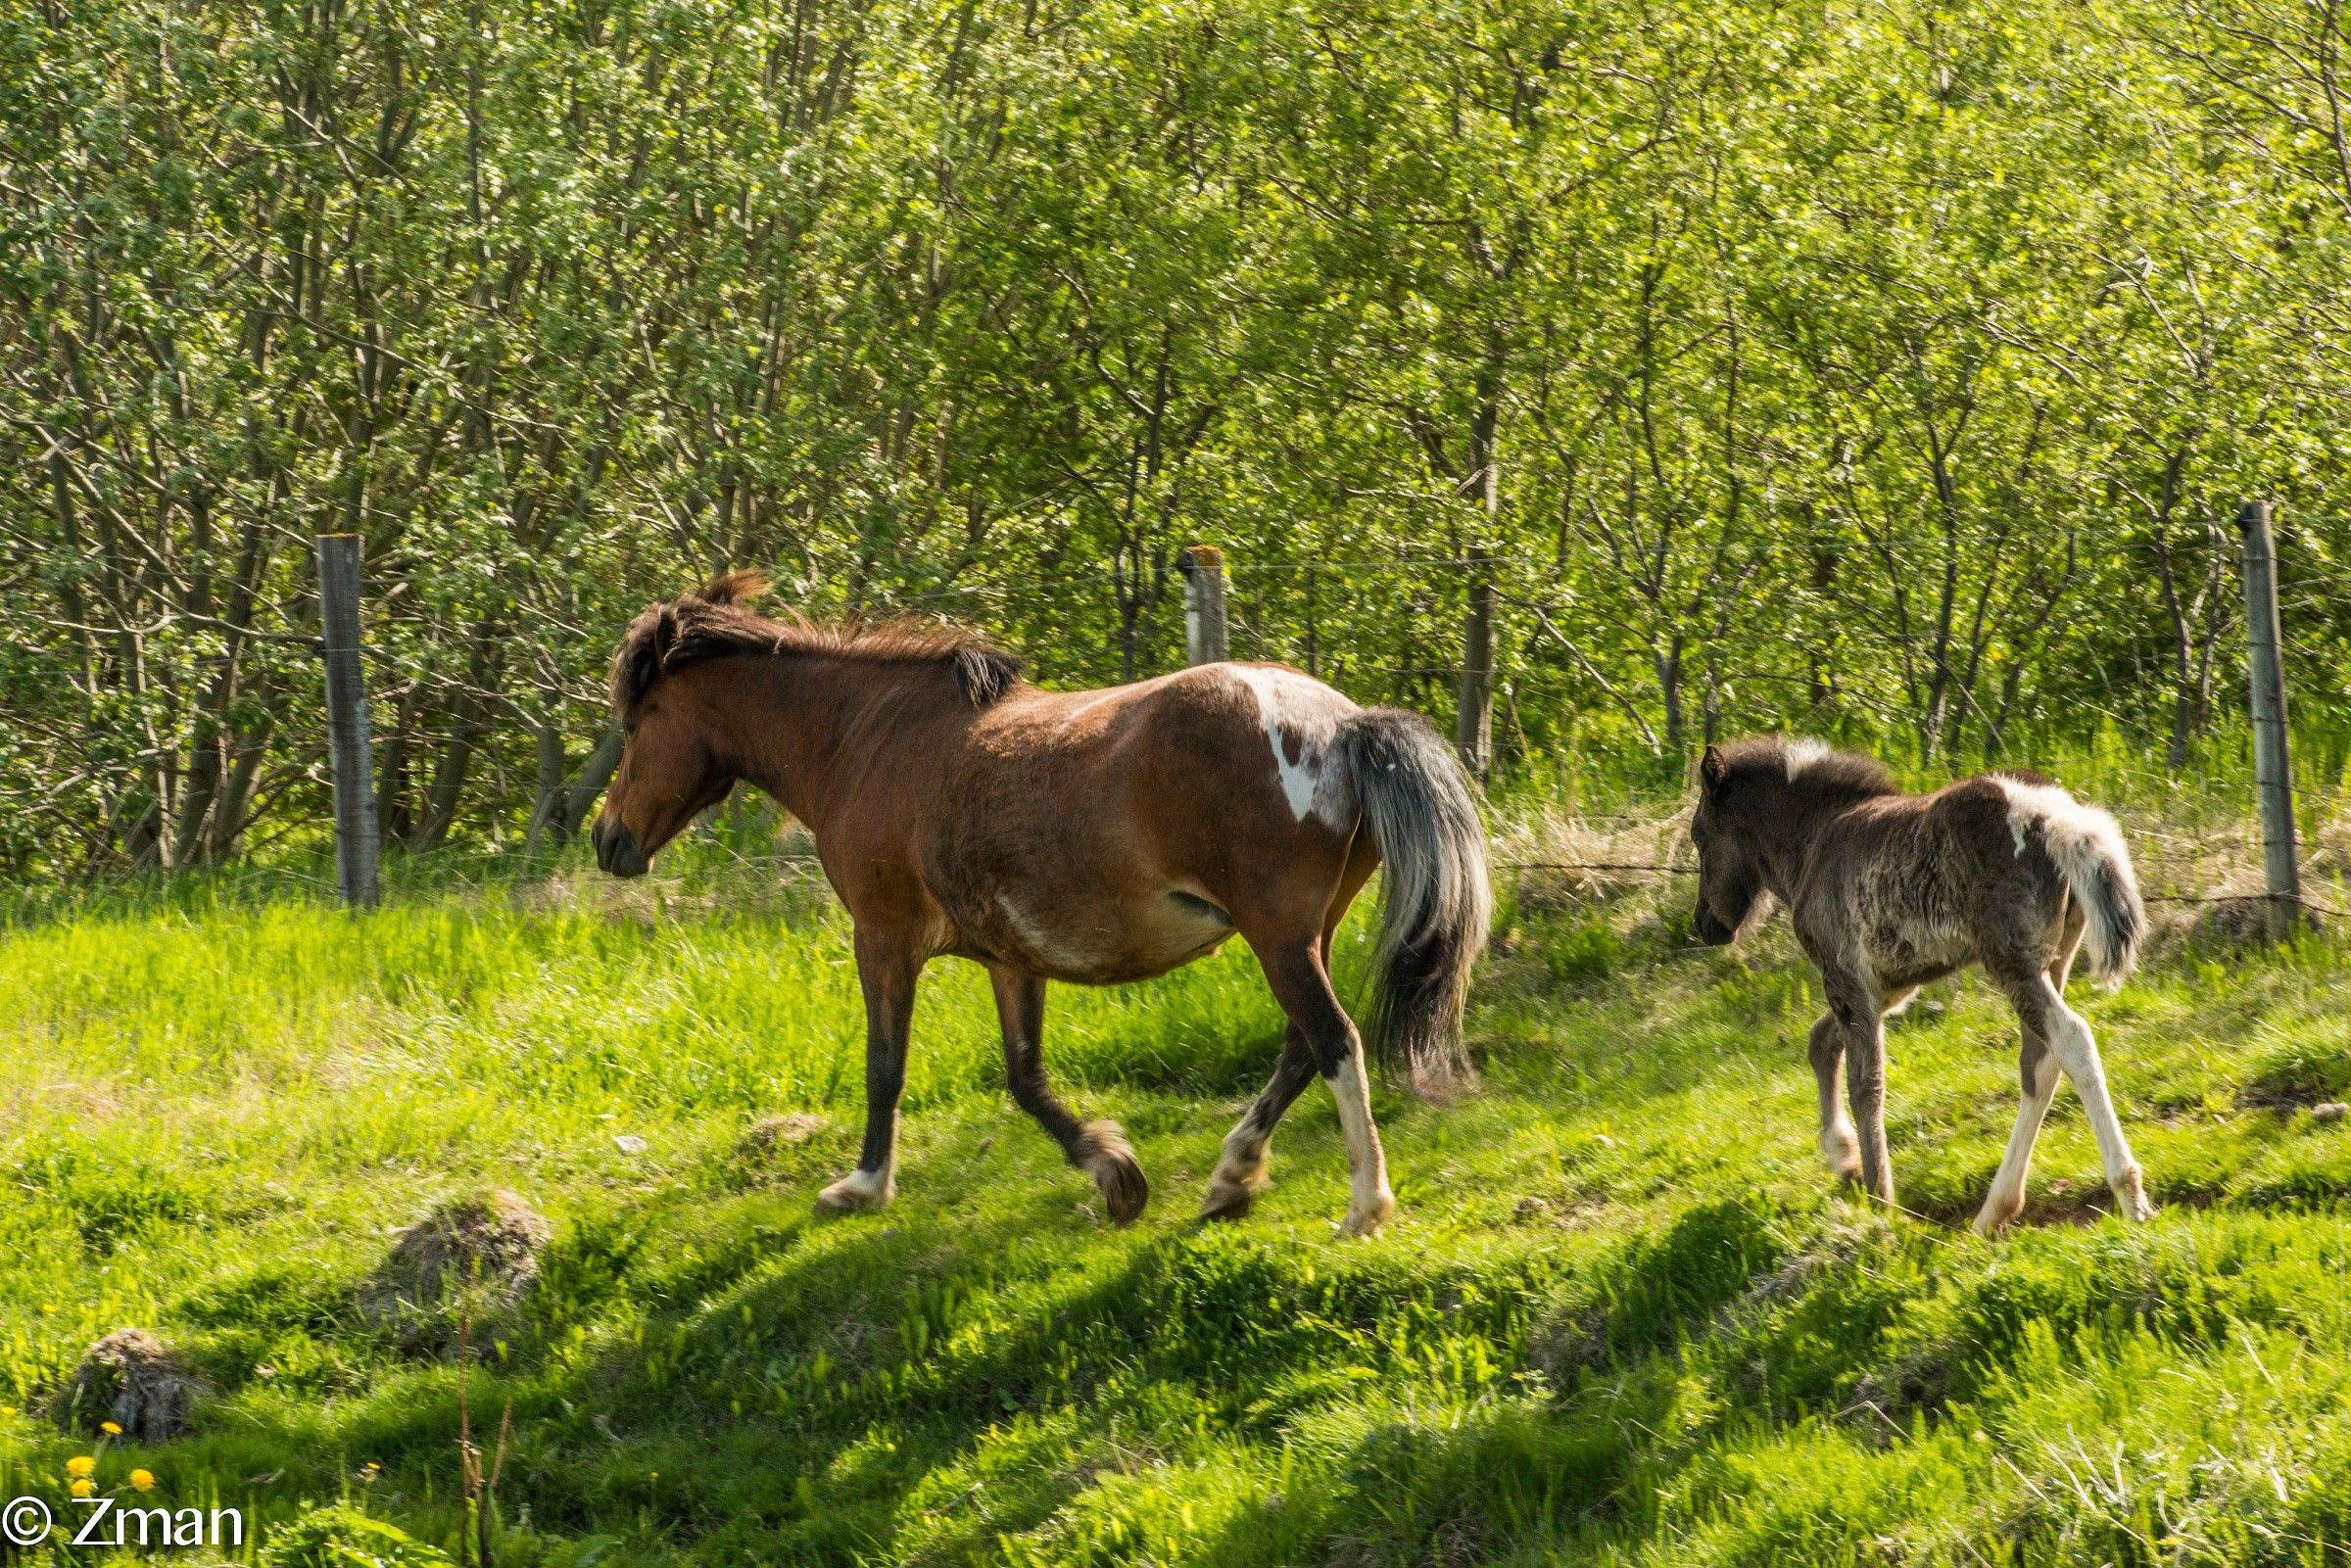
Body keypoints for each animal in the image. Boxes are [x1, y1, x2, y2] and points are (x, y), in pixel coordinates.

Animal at [590, 572, 1491, 1237]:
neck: (865, 740)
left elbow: (886, 1067)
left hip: (1278, 938)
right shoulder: (1009, 955)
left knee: (1333, 1040)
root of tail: (1345, 726)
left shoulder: (881, 938)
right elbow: (1025, 1077)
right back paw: (1230, 1178)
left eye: (635, 725)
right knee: (1303, 1047)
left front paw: (863, 1186)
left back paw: (1363, 1205)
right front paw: (1115, 1174)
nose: (608, 838)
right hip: (1308, 935)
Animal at [1686, 736, 2154, 1233]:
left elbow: (1865, 1085)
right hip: (2055, 960)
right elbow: (1820, 1042)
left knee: (2072, 1039)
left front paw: (1880, 1200)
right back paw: (1993, 1211)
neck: (1813, 838)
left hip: (2013, 964)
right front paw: (1846, 1162)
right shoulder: (1888, 987)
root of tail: (2058, 819)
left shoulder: (1847, 980)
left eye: (1700, 835)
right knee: (2039, 1063)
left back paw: (2129, 1194)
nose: (1704, 924)